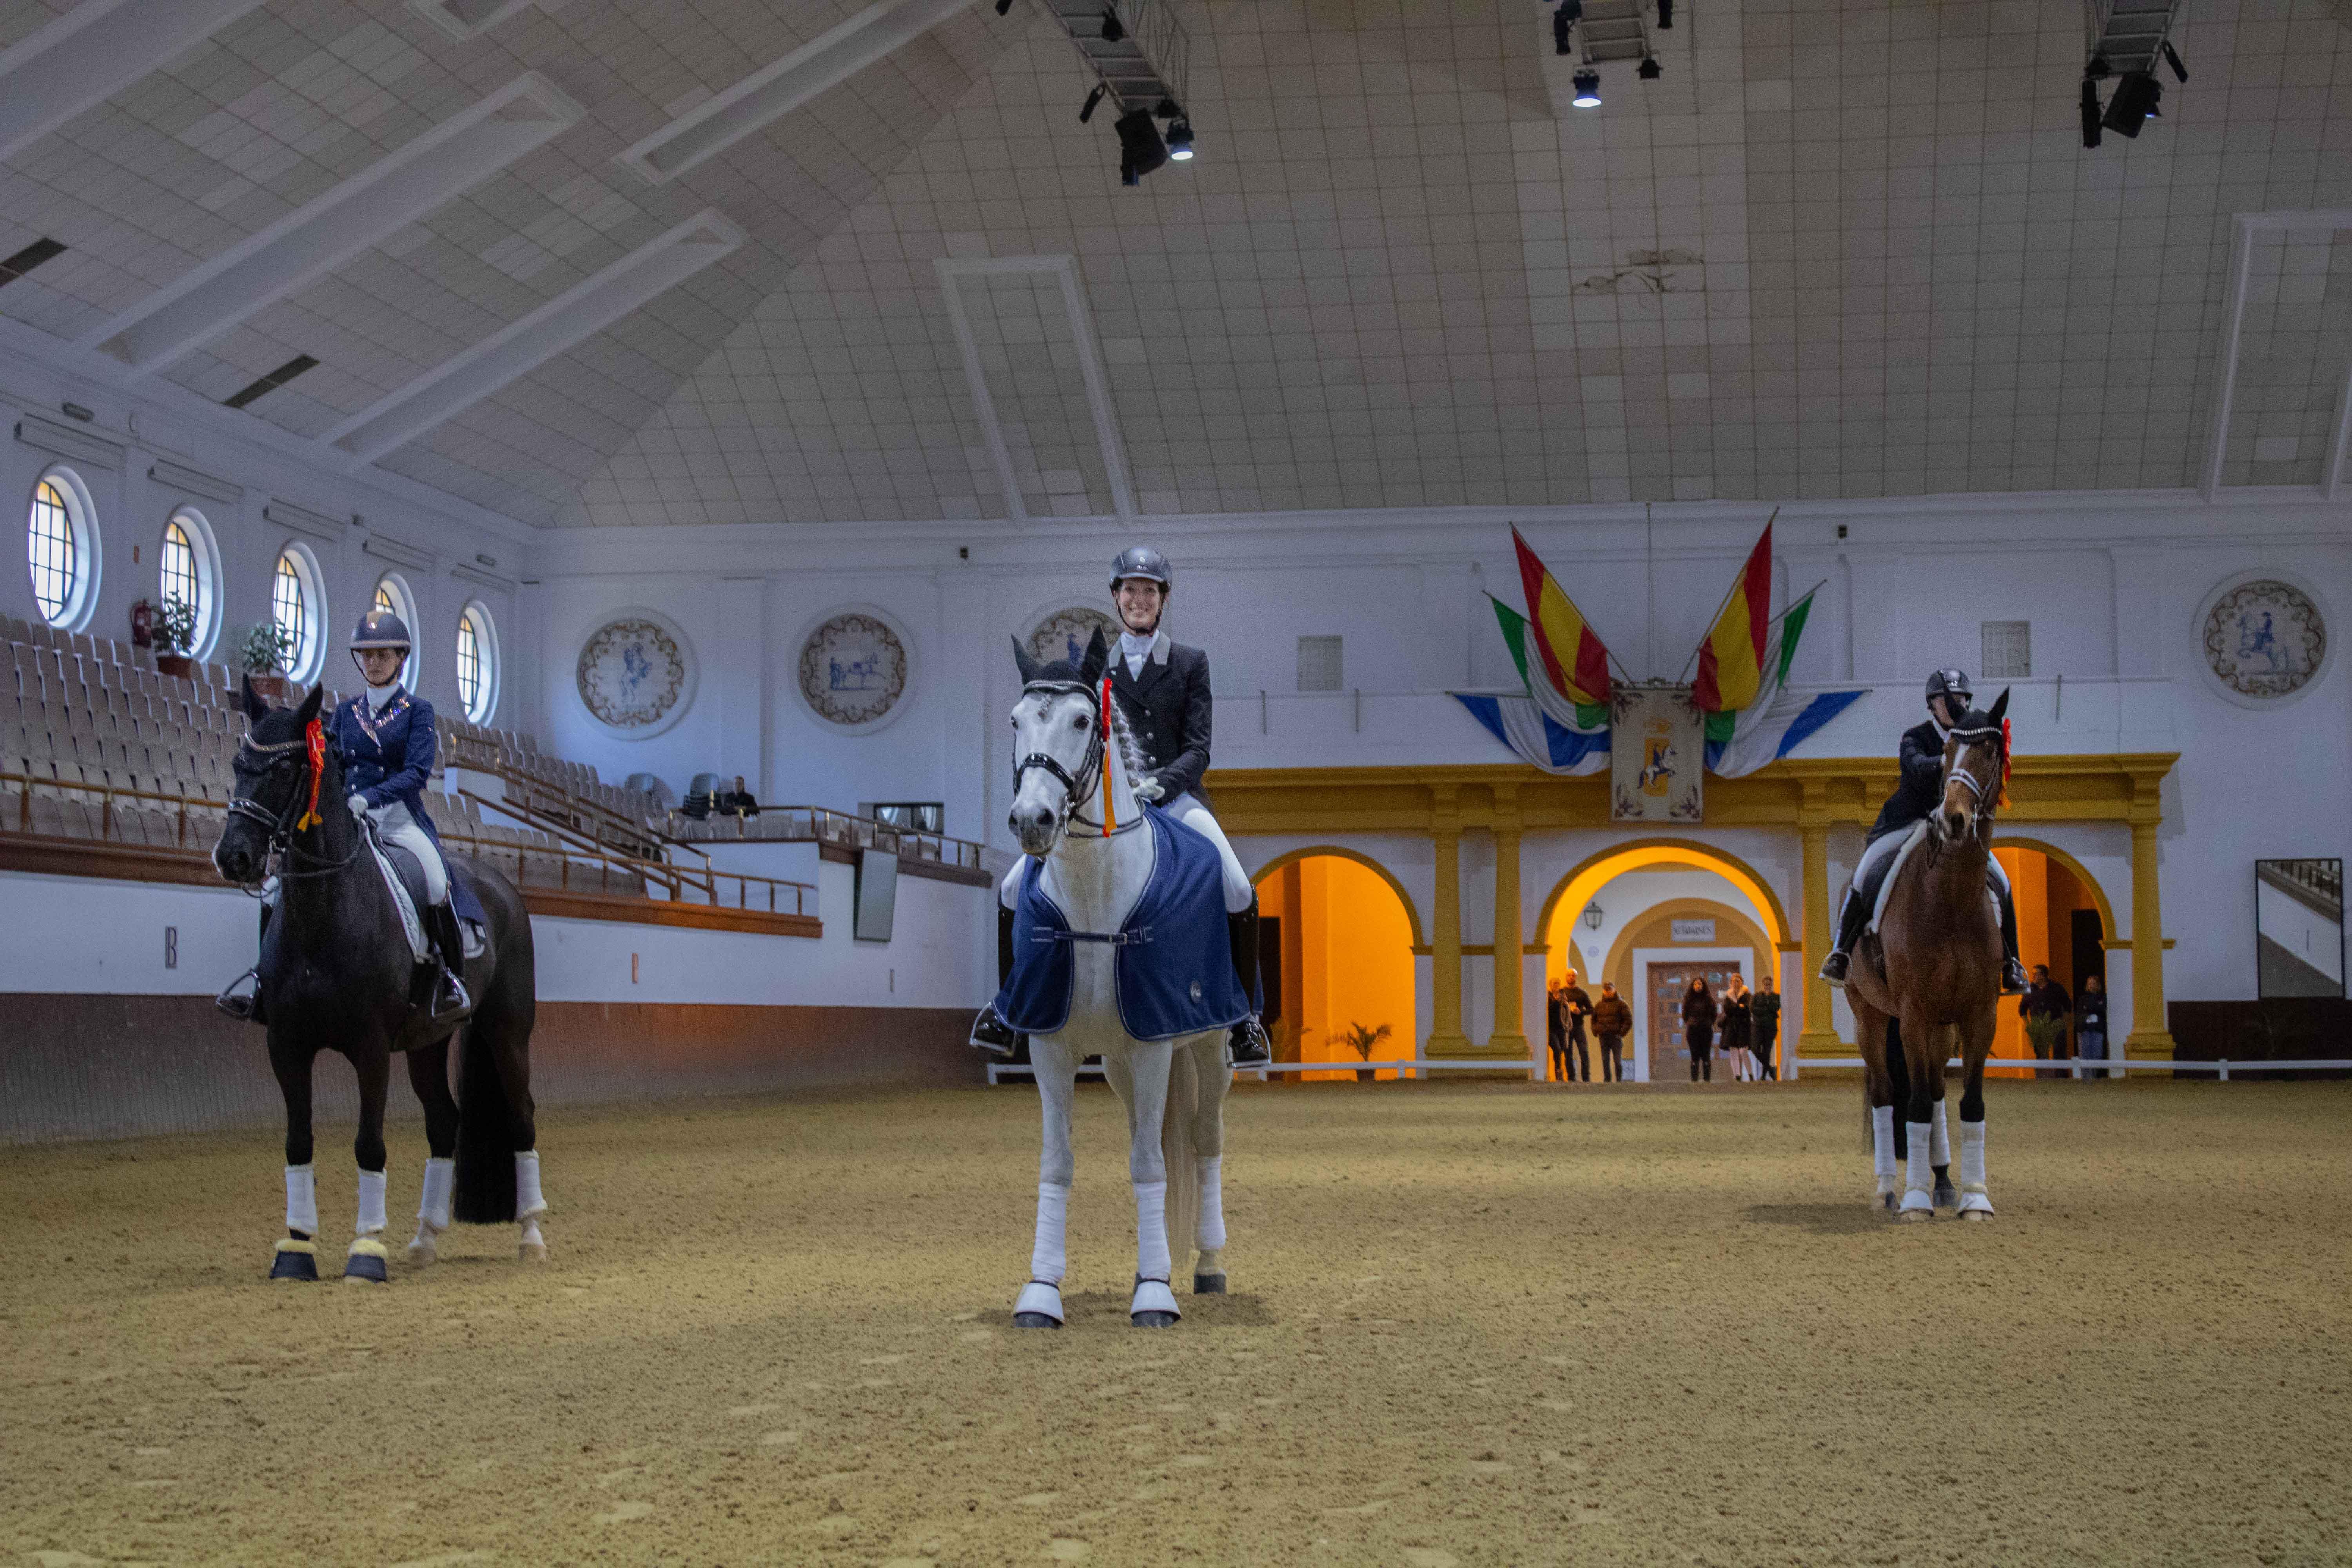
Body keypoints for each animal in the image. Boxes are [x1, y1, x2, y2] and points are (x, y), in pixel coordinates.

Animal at [211, 682, 541, 1279]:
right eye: (239, 764)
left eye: (287, 767)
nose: (234, 857)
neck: (324, 913)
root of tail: (500, 884)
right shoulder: (287, 1044)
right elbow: (298, 1142)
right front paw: (296, 1249)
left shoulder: (369, 1047)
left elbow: (370, 1145)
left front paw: (365, 1250)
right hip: (428, 1041)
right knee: (444, 1122)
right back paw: (425, 1239)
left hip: (507, 1031)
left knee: (522, 1116)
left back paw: (531, 1235)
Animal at [1002, 630, 1242, 1335]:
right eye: (1016, 721)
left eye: (1085, 721)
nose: (1033, 820)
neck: (1093, 895)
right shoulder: (1051, 1046)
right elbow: (1058, 1163)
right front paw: (1040, 1293)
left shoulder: (1157, 1042)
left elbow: (1149, 1164)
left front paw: (1156, 1294)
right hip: (1117, 1064)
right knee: (1156, 1128)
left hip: (1207, 1049)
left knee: (1205, 1140)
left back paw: (1208, 1265)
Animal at [1844, 696, 2013, 1222]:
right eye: (1948, 754)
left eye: (1990, 753)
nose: (1953, 820)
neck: (1951, 901)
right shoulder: (1914, 1015)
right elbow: (1913, 1104)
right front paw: (1914, 1200)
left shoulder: (1979, 1015)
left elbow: (1970, 1104)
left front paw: (1975, 1198)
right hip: (1871, 1016)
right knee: (1886, 1095)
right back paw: (1888, 1190)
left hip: (1943, 1025)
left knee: (1938, 1091)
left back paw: (1943, 1182)